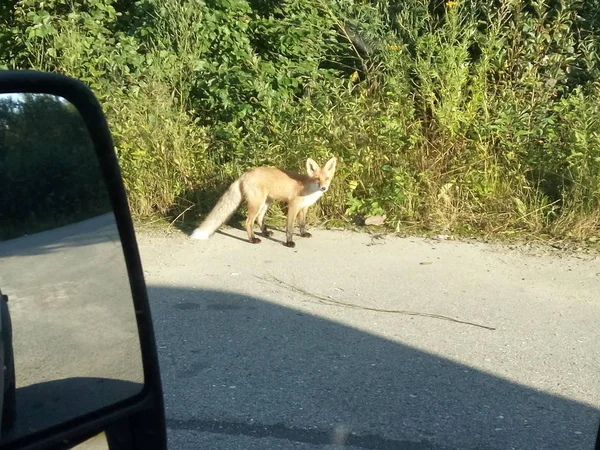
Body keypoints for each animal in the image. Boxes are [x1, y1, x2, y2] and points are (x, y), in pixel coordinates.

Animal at [190, 157, 336, 250]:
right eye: (317, 179)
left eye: (327, 178)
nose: (324, 188)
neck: (307, 188)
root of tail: (244, 174)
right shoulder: (293, 206)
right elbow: (289, 228)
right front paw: (289, 242)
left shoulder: (303, 208)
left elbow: (302, 224)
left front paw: (303, 234)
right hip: (257, 203)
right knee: (249, 221)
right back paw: (252, 239)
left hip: (266, 202)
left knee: (259, 219)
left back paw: (265, 233)